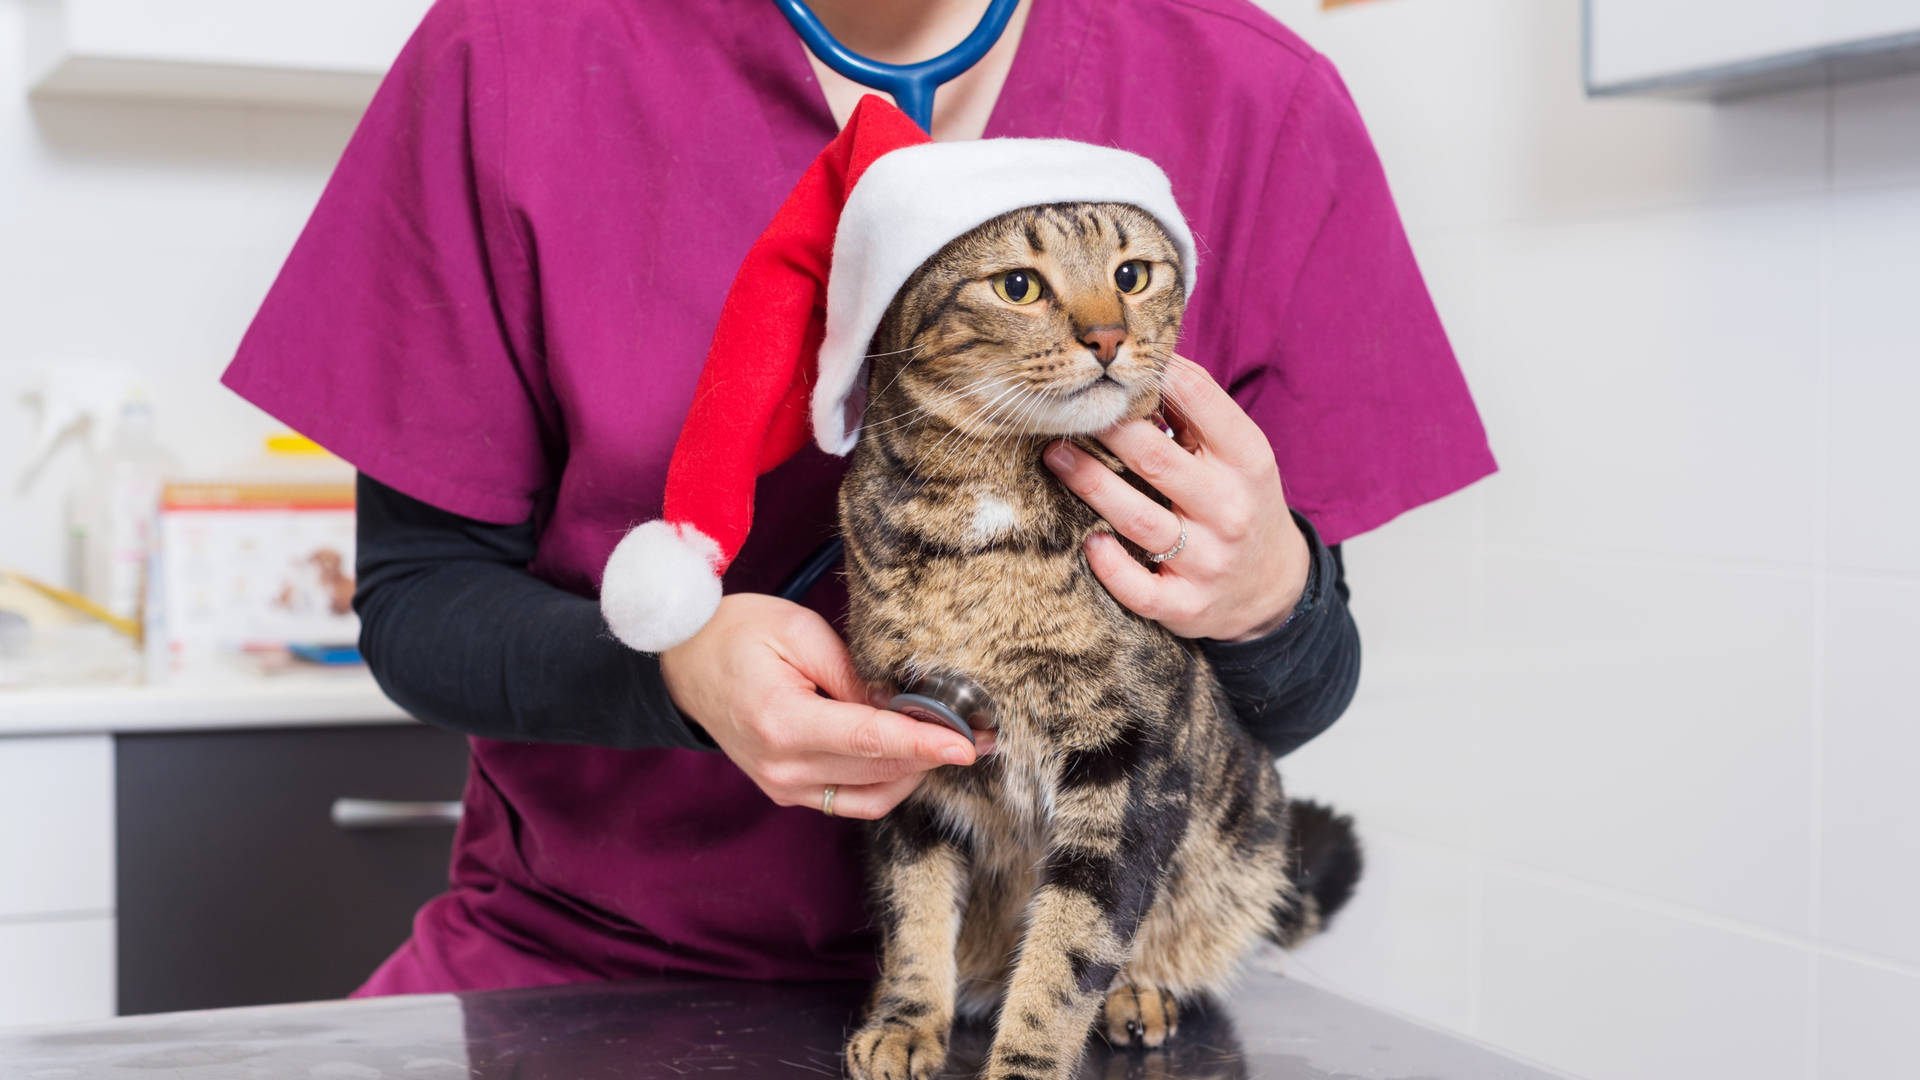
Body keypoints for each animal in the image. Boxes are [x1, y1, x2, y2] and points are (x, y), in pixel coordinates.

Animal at [840, 199, 1367, 1076]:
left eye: (1132, 275)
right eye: (1019, 286)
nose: (1107, 337)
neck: (997, 498)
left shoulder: (1130, 760)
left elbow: (1070, 950)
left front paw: (1024, 1064)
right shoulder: (912, 744)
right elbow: (913, 908)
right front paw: (907, 1023)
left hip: (1247, 828)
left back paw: (1139, 996)